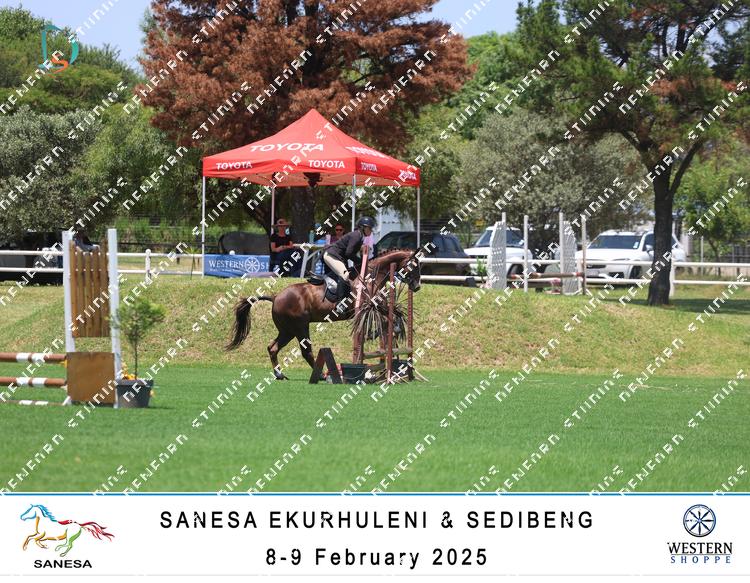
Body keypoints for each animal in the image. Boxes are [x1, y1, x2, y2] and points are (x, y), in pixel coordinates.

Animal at [226, 249, 421, 379]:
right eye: (414, 266)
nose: (417, 287)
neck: (371, 277)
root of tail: (276, 297)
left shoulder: (376, 306)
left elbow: (393, 316)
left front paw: (389, 332)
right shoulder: (366, 307)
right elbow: (387, 318)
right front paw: (379, 333)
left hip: (287, 330)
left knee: (272, 348)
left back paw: (280, 375)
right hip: (300, 327)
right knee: (306, 351)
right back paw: (322, 376)